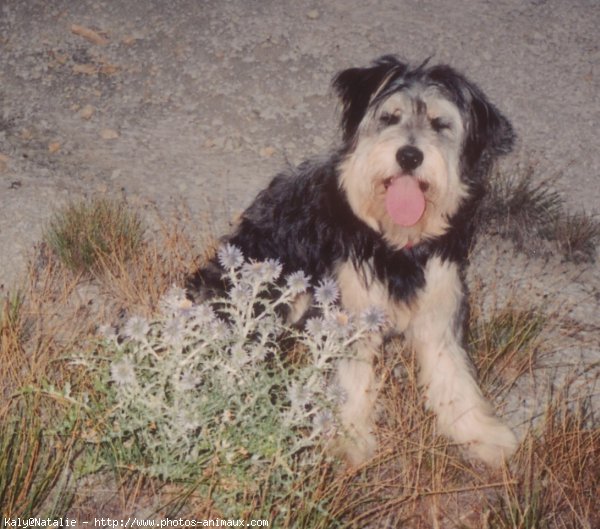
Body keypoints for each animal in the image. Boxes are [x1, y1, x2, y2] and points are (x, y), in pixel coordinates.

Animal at [189, 54, 520, 466]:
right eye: (390, 117)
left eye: (440, 124)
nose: (409, 156)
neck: (395, 242)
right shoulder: (347, 310)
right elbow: (348, 377)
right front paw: (347, 439)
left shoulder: (440, 306)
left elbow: (455, 376)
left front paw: (479, 434)